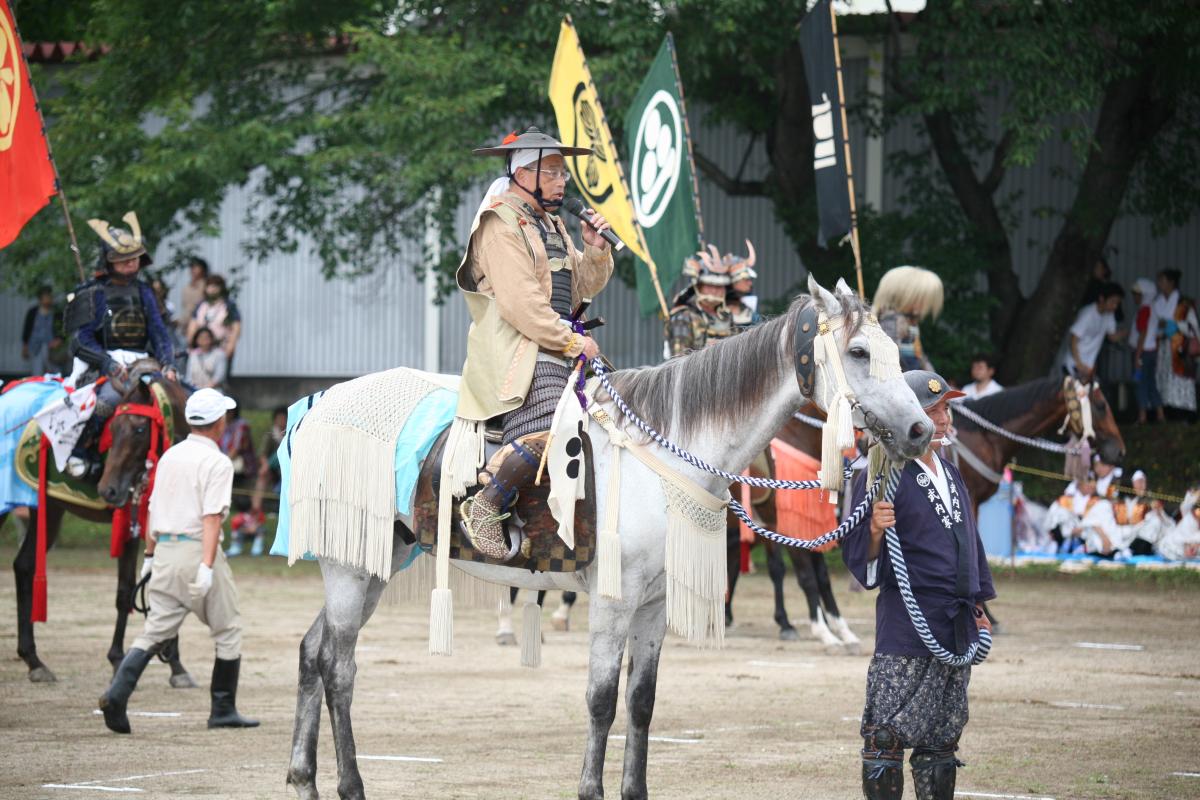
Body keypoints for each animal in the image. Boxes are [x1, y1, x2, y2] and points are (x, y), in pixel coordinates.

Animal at [1, 367, 194, 686]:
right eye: (112, 429)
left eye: (140, 430)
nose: (108, 490)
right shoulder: (130, 523)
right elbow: (126, 590)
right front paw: (118, 659)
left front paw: (176, 665)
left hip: (49, 508)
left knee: (25, 566)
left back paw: (33, 660)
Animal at [285, 278, 931, 796]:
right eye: (858, 351)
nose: (921, 430)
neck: (663, 454)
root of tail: (322, 402)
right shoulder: (612, 601)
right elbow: (601, 700)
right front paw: (590, 789)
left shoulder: (654, 605)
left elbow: (641, 703)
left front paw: (633, 789)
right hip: (350, 570)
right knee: (339, 668)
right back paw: (349, 784)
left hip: (373, 561)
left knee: (313, 651)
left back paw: (302, 777)